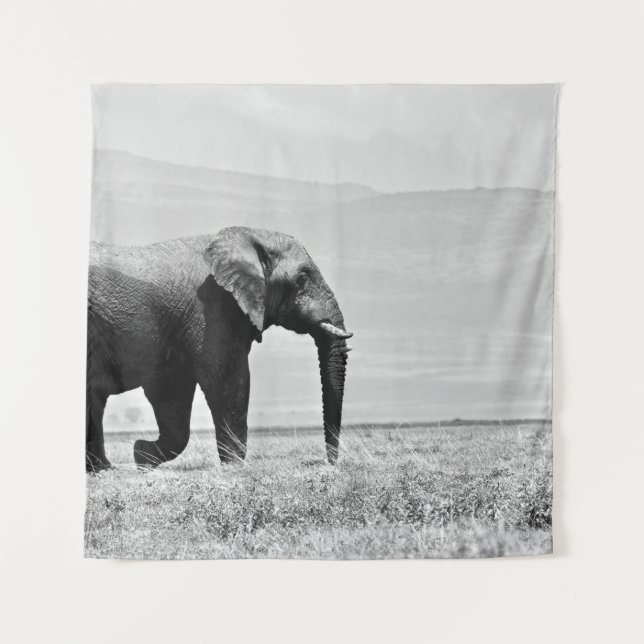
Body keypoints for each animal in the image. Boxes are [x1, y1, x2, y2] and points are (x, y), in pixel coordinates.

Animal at [86, 226, 352, 472]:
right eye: (302, 279)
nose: (331, 464)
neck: (248, 236)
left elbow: (172, 395)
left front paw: (141, 455)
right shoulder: (213, 308)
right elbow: (227, 379)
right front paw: (234, 467)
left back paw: (102, 468)